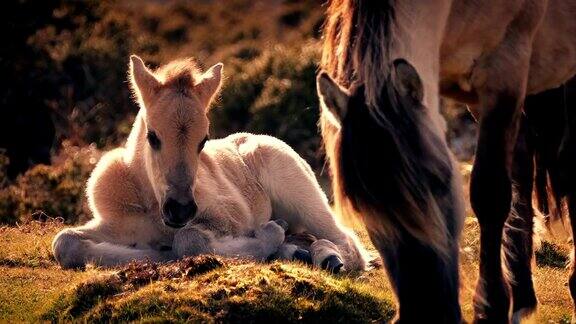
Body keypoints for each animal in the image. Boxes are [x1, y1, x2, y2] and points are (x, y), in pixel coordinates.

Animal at [54, 54, 368, 272]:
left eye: (203, 140)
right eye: (153, 136)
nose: (180, 209)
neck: (151, 206)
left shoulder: (231, 218)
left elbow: (189, 239)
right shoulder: (118, 224)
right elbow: (64, 242)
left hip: (300, 192)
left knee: (347, 241)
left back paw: (328, 257)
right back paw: (297, 252)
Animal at [318, 1, 572, 322]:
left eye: (439, 181)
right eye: (360, 204)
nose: (427, 313)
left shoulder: (504, 76)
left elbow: (490, 194)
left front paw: (491, 307)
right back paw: (523, 296)